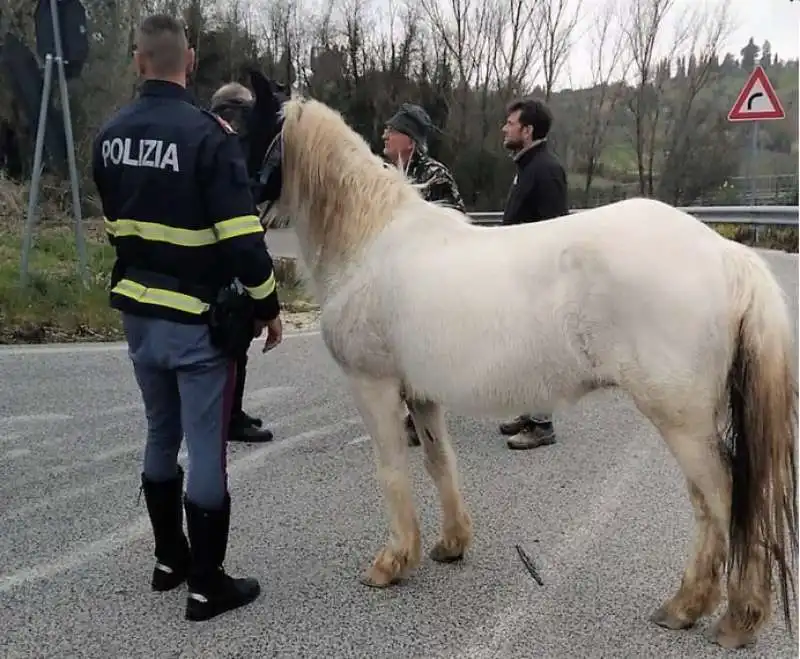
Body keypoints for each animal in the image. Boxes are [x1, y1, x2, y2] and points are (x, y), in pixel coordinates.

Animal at [247, 72, 796, 648]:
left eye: (244, 126)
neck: (370, 239)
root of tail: (728, 254)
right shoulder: (421, 393)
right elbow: (439, 462)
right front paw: (450, 544)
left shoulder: (373, 385)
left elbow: (392, 470)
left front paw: (391, 563)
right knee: (713, 505)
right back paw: (690, 607)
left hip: (681, 419)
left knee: (725, 498)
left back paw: (730, 617)